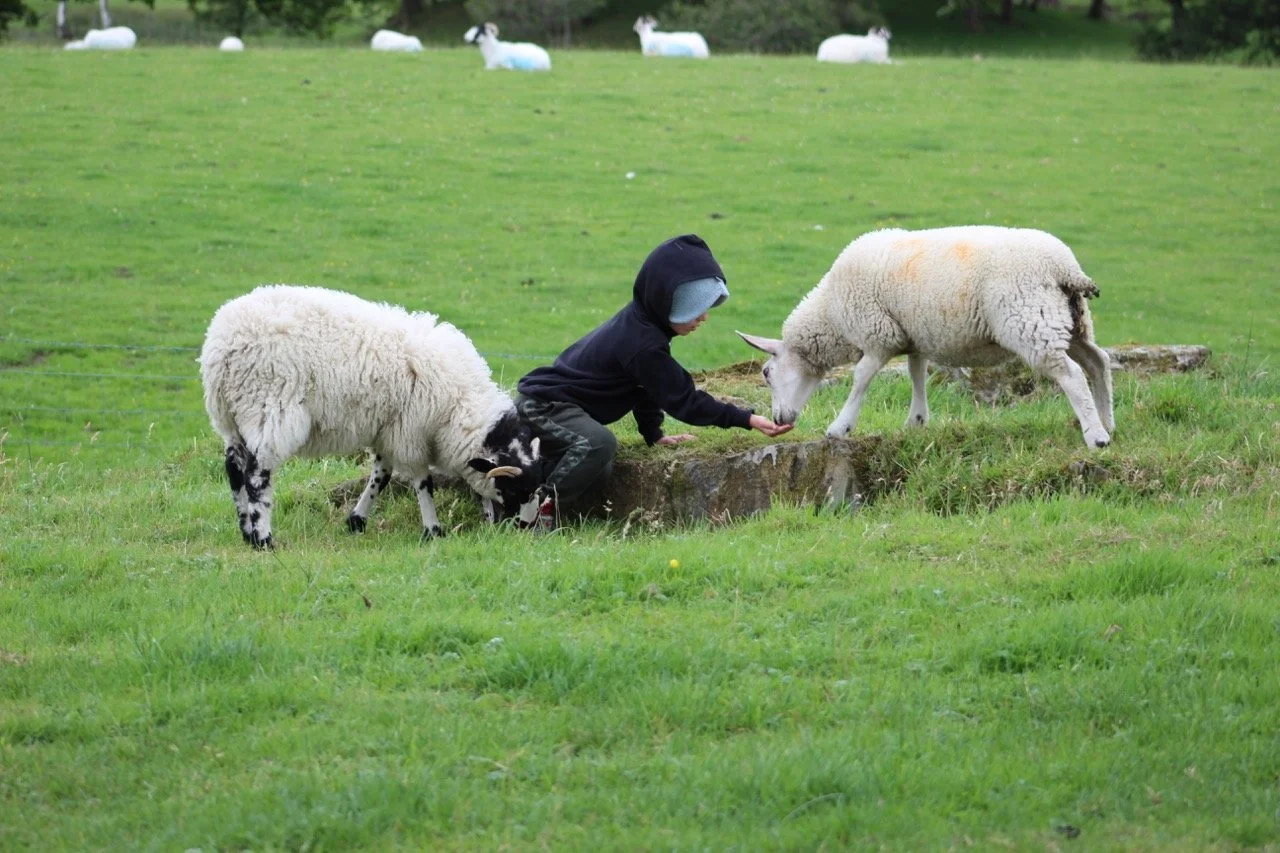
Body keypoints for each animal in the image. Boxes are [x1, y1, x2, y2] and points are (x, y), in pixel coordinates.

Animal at [199, 285, 543, 548]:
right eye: (516, 489)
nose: (527, 528)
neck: (457, 406)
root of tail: (222, 346)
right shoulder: (410, 431)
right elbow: (422, 482)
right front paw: (433, 529)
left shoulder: (389, 428)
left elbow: (382, 475)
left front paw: (357, 520)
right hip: (270, 408)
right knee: (257, 474)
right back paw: (263, 538)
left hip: (231, 416)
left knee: (234, 468)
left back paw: (246, 532)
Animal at [738, 226, 1115, 449]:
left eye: (766, 373)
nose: (778, 420)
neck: (830, 312)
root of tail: (1065, 267)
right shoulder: (911, 334)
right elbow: (916, 373)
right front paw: (917, 420)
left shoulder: (878, 335)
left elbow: (860, 379)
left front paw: (840, 427)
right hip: (1069, 320)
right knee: (1098, 362)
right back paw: (1107, 422)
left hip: (1030, 319)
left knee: (1071, 374)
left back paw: (1095, 436)